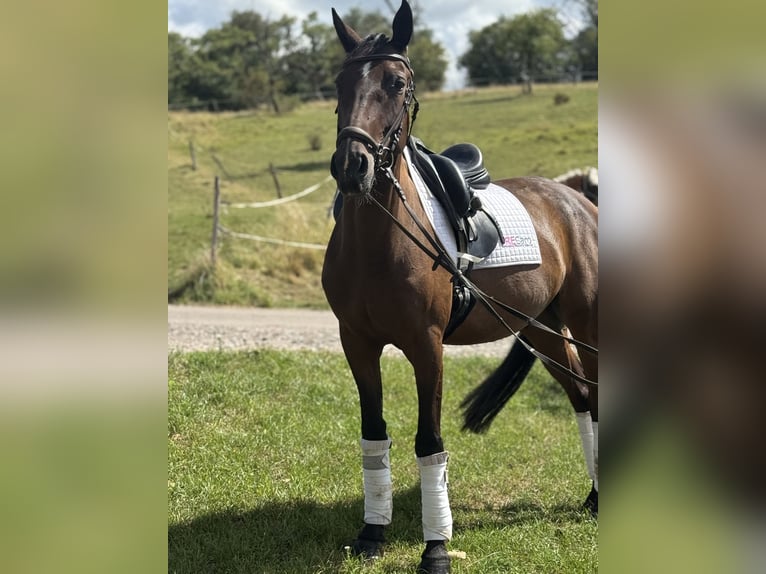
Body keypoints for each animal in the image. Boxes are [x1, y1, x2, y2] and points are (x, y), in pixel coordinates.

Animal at [321, 3, 598, 572]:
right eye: (339, 82)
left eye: (397, 83)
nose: (352, 166)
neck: (379, 242)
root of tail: (578, 200)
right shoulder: (356, 343)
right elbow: (374, 433)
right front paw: (372, 533)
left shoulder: (427, 347)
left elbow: (430, 442)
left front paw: (436, 548)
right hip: (541, 329)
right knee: (583, 396)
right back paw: (591, 497)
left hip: (589, 324)